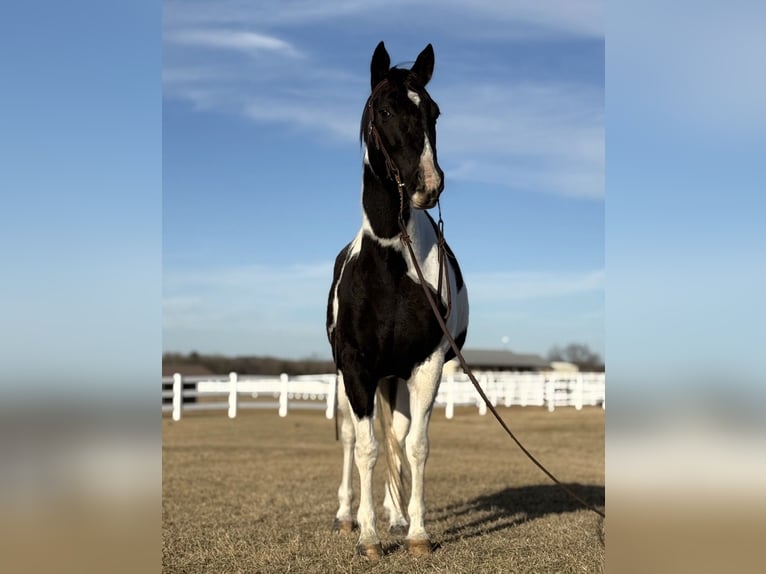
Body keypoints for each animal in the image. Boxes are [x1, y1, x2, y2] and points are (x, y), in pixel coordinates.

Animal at [326, 41, 469, 561]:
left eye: (434, 111)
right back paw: (347, 516)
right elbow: (366, 447)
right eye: (384, 111)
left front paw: (416, 531)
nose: (429, 185)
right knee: (352, 437)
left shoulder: (426, 364)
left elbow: (415, 446)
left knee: (397, 435)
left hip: (393, 377)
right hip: (353, 378)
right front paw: (367, 536)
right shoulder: (355, 366)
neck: (390, 260)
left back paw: (397, 514)